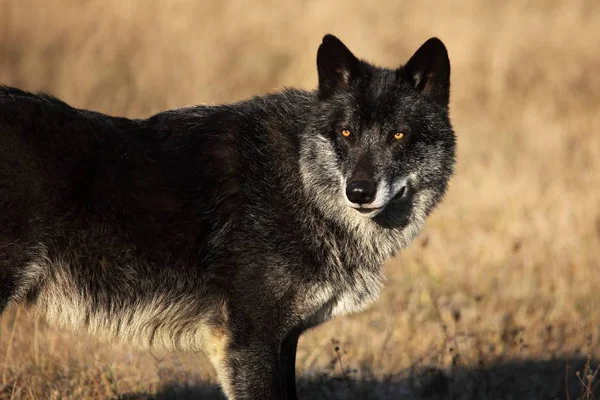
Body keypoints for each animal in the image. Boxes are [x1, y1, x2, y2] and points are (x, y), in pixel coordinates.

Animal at [0, 36, 454, 398]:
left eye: (398, 135)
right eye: (345, 133)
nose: (358, 192)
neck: (300, 183)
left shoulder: (283, 339)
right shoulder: (249, 341)